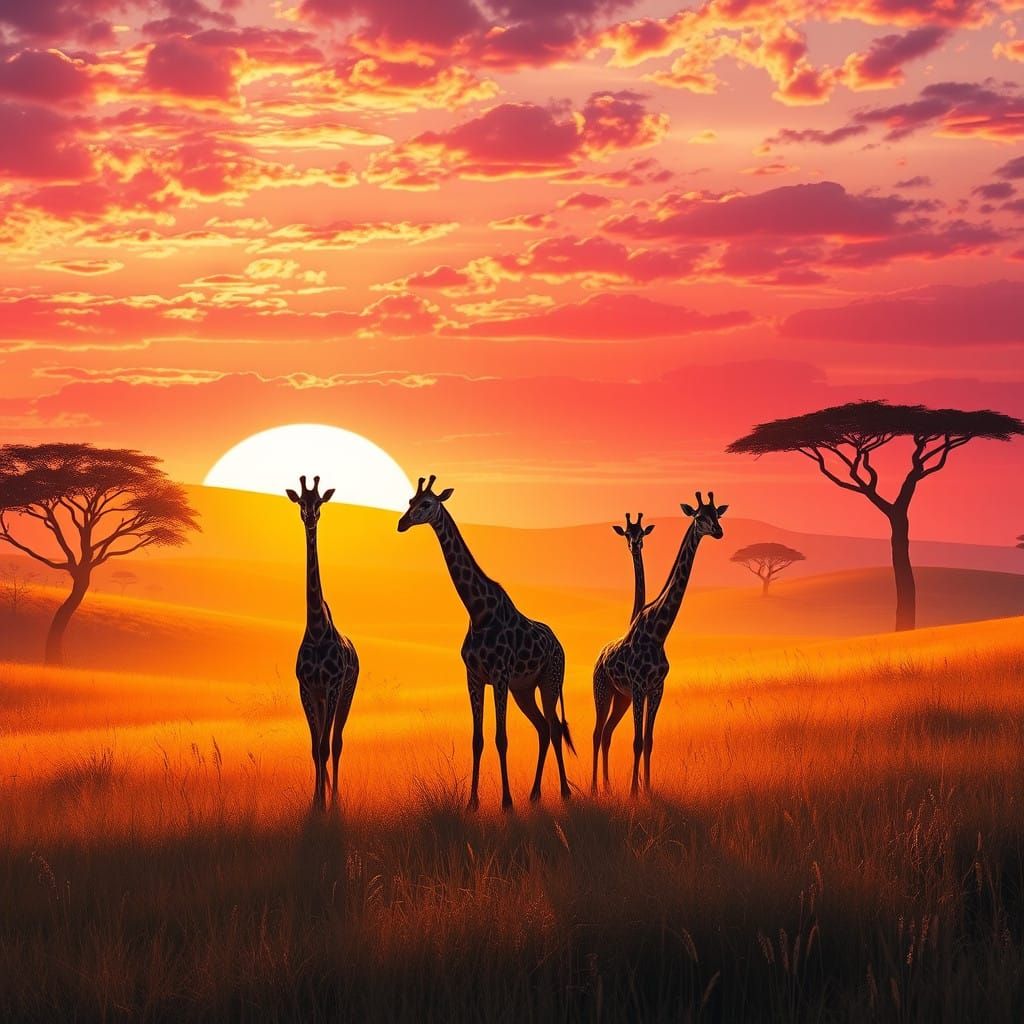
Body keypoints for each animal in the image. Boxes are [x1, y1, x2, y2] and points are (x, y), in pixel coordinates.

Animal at [398, 475, 574, 811]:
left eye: (426, 504)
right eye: (410, 501)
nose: (402, 523)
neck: (478, 611)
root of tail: (560, 645)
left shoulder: (500, 675)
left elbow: (501, 738)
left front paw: (506, 802)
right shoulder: (474, 677)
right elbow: (477, 739)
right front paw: (472, 802)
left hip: (549, 680)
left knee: (555, 727)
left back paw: (565, 792)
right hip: (524, 689)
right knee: (543, 728)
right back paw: (534, 794)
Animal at [592, 491, 727, 795]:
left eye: (716, 514)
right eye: (699, 517)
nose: (719, 531)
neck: (658, 631)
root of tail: (599, 657)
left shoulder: (656, 688)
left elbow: (649, 741)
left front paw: (647, 788)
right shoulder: (639, 687)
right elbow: (637, 741)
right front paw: (633, 791)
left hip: (621, 697)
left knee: (606, 733)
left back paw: (606, 786)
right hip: (603, 690)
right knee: (596, 733)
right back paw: (595, 788)